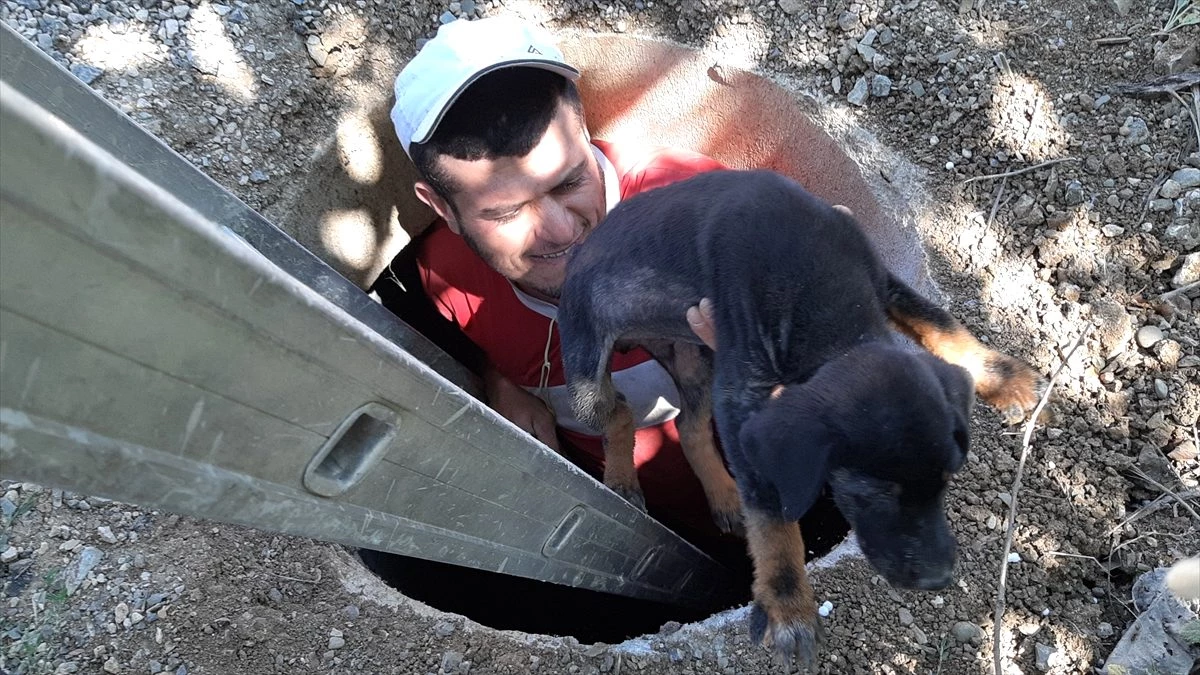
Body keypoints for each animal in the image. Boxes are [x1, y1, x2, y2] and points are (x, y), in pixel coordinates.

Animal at [556, 169, 1046, 667]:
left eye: (947, 481)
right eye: (873, 492)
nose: (938, 579)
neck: (824, 292)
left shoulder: (883, 281)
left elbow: (939, 320)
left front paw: (1003, 377)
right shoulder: (743, 395)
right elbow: (772, 514)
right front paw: (787, 604)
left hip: (694, 358)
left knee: (689, 427)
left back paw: (723, 495)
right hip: (585, 366)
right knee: (617, 413)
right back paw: (622, 481)